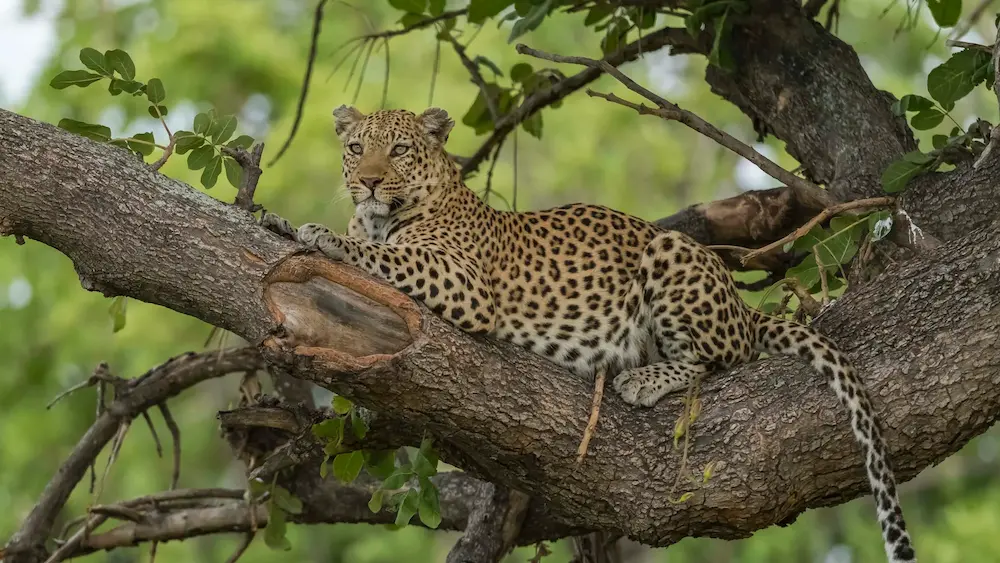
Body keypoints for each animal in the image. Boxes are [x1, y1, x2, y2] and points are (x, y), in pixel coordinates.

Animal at [264, 105, 916, 563]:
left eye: (399, 150)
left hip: (671, 252)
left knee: (718, 358)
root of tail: (740, 305)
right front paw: (274, 216)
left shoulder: (463, 282)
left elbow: (382, 256)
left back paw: (643, 378)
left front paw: (325, 235)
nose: (370, 183)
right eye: (355, 149)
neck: (380, 216)